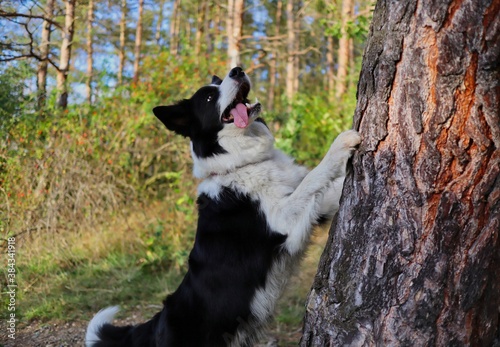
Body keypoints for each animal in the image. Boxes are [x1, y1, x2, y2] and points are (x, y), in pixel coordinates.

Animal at [86, 68, 360, 347]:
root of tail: (155, 324)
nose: (237, 70)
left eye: (219, 82)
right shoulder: (282, 220)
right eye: (208, 97)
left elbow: (327, 188)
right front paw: (342, 142)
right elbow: (314, 177)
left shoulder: (312, 210)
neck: (240, 165)